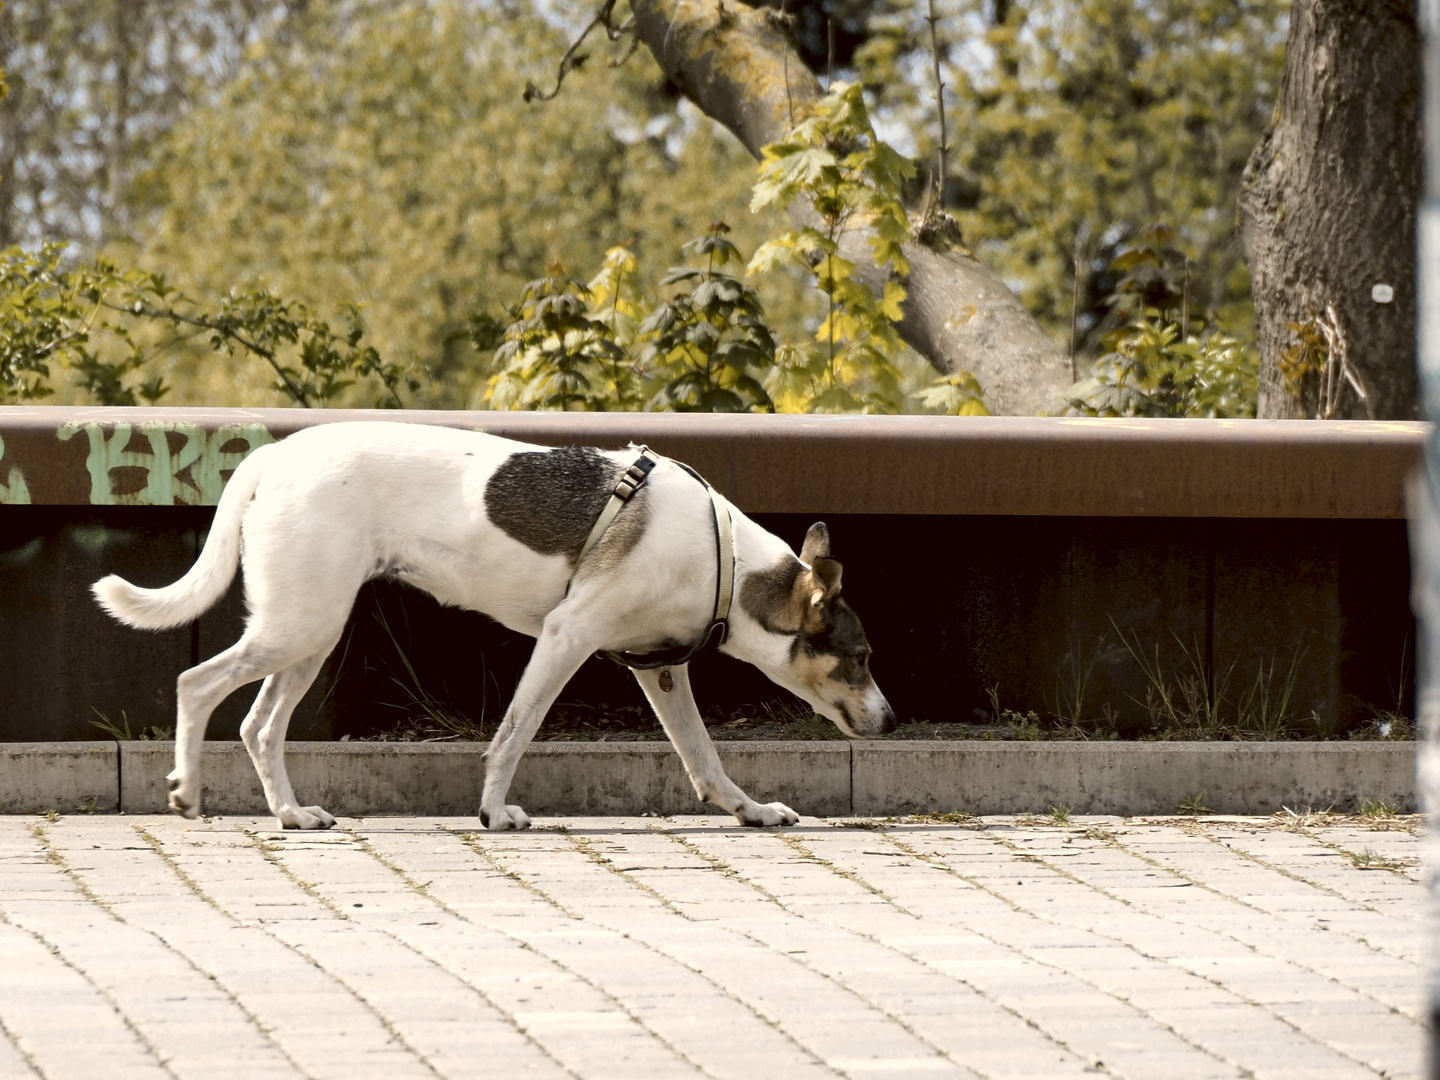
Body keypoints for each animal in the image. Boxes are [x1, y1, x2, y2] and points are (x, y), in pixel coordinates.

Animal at [92, 423, 887, 829]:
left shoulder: (661, 669)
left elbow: (704, 758)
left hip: (307, 634)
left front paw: (750, 810)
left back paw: (291, 814)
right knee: (197, 684)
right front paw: (494, 812)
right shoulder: (566, 638)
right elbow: (514, 734)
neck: (727, 559)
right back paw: (188, 791)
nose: (890, 717)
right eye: (861, 657)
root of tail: (271, 454)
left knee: (258, 727)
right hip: (302, 626)